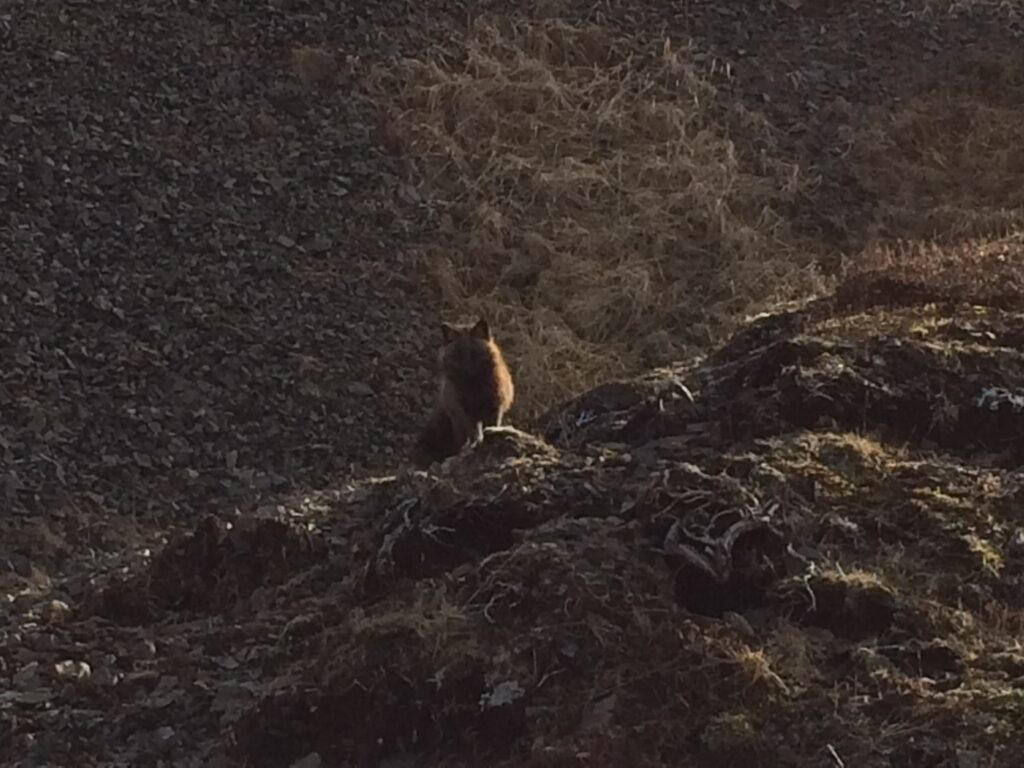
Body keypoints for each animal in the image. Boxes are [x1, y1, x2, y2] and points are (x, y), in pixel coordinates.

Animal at [412, 318, 515, 468]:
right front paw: (473, 445)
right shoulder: (463, 411)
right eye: (457, 355)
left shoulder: (494, 408)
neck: (473, 387)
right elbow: (472, 432)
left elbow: (491, 426)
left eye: (474, 353)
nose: (466, 370)